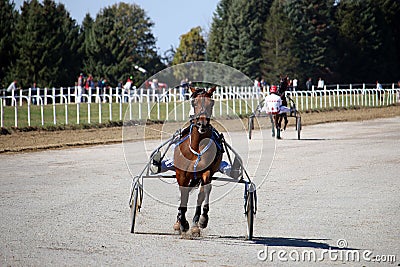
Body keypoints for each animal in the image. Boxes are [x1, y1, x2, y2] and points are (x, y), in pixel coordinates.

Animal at [172, 87, 222, 236]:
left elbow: (204, 193)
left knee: (203, 193)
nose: (202, 124)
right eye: (193, 102)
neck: (196, 148)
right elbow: (183, 195)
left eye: (212, 102)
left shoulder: (207, 172)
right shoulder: (181, 174)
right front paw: (182, 223)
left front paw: (200, 220)